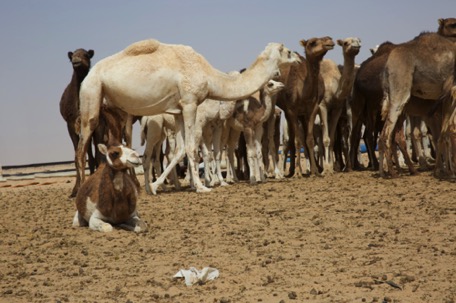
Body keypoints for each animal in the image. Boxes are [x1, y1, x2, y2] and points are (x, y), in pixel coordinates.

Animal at [76, 39, 302, 195]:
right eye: (288, 51)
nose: (299, 58)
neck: (209, 75)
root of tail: (89, 75)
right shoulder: (190, 103)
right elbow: (192, 148)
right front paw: (202, 187)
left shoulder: (178, 109)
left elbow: (180, 149)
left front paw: (156, 186)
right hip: (92, 94)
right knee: (81, 149)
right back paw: (81, 191)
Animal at [274, 36, 334, 177]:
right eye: (312, 43)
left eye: (327, 38)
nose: (329, 40)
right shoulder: (292, 110)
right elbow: (297, 141)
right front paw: (298, 172)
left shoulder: (312, 109)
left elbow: (310, 139)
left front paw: (315, 171)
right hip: (289, 112)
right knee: (290, 141)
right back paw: (291, 171)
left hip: (302, 114)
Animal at [380, 17, 456, 178]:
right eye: (452, 25)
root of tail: (387, 66)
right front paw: (446, 170)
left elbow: (445, 132)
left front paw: (444, 170)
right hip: (400, 91)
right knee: (387, 134)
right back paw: (395, 172)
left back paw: (386, 172)